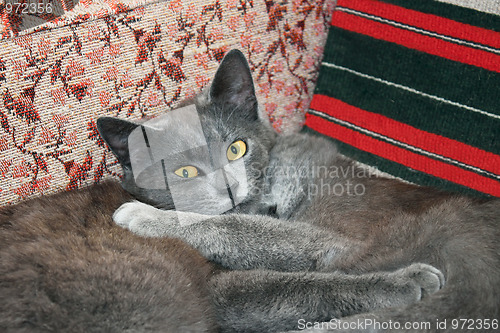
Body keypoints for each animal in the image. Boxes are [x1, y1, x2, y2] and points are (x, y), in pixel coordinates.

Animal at [95, 48, 498, 330]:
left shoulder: (336, 241)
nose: (229, 187)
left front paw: (142, 214)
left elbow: (242, 228)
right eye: (184, 171)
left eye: (236, 148)